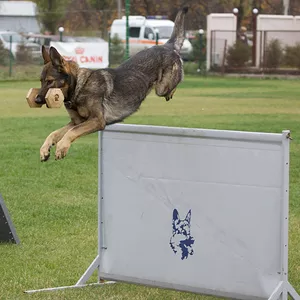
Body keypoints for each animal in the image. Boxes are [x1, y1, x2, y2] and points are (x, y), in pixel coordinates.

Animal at [36, 6, 189, 162]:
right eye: (41, 81)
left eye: (49, 81)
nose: (36, 100)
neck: (79, 86)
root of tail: (167, 46)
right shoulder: (77, 122)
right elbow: (55, 133)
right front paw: (45, 149)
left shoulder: (97, 121)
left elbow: (71, 132)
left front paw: (61, 147)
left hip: (161, 88)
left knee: (174, 83)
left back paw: (171, 92)